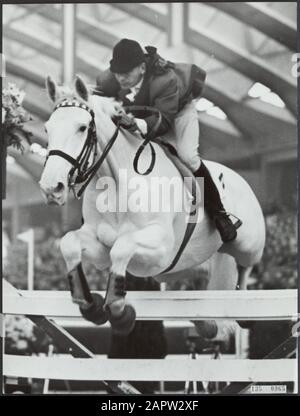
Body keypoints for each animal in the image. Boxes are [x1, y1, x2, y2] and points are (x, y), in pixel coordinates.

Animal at [39, 76, 264, 336]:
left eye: (82, 127)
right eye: (47, 129)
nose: (51, 188)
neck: (116, 185)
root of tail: (239, 177)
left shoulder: (161, 248)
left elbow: (122, 247)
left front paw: (119, 313)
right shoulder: (101, 250)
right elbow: (70, 243)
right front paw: (90, 305)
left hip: (248, 245)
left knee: (245, 268)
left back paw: (244, 310)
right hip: (185, 267)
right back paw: (205, 324)